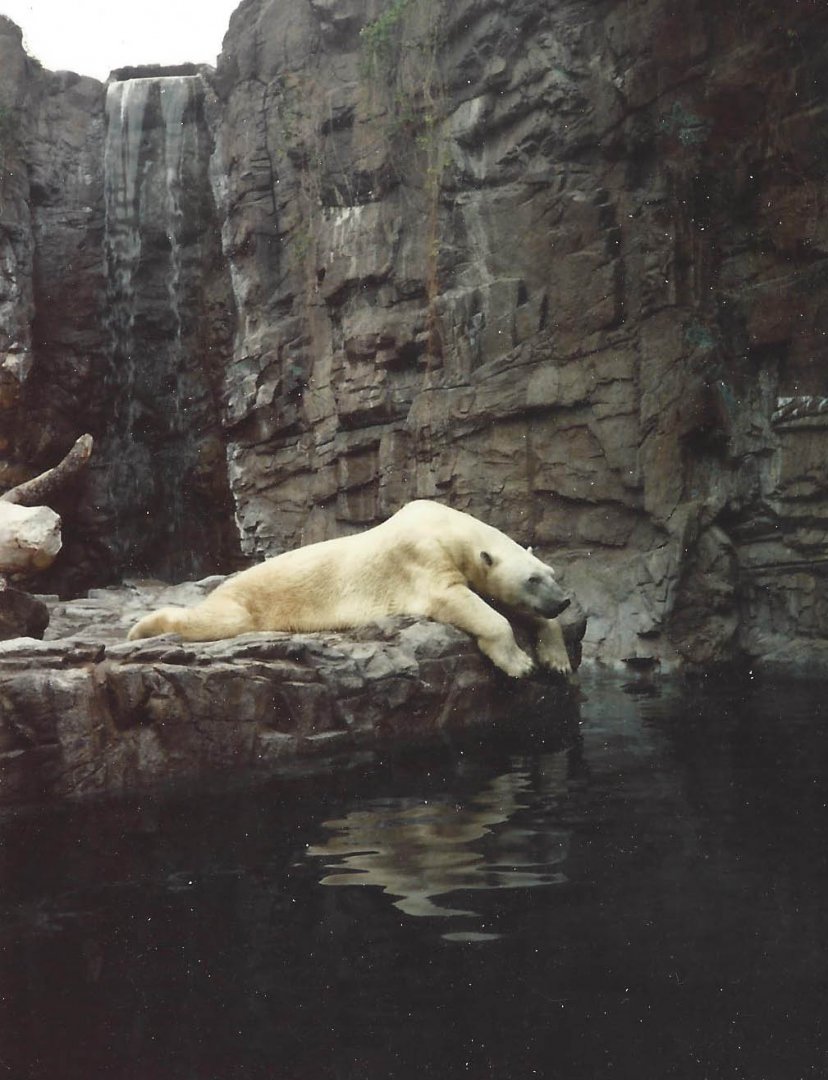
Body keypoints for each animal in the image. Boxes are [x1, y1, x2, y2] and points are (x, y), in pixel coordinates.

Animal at [127, 500, 572, 678]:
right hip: (243, 602)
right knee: (215, 620)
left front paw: (557, 660)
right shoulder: (422, 559)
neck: (444, 524)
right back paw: (141, 628)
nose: (564, 600)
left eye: (551, 573)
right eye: (532, 578)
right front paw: (521, 664)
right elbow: (460, 600)